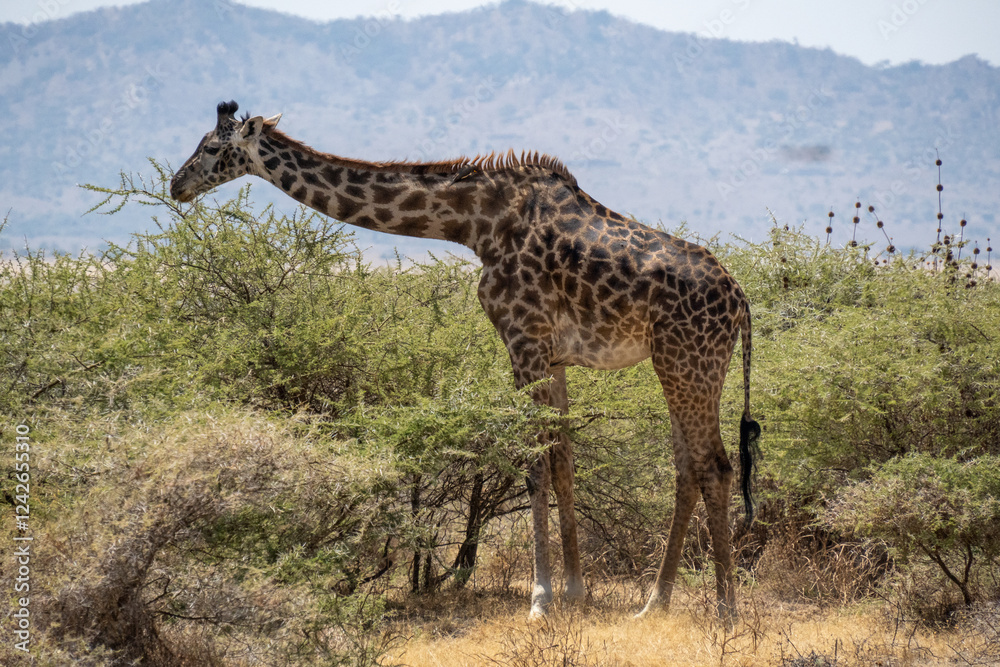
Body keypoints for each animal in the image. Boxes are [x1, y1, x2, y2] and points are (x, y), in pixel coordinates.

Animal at [170, 101, 761, 620]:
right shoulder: (552, 354)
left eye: (213, 147)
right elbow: (563, 460)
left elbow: (534, 466)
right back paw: (653, 604)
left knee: (714, 465)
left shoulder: (523, 339)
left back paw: (727, 610)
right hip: (681, 363)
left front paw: (540, 599)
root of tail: (740, 301)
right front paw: (574, 591)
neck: (474, 223)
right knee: (687, 467)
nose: (176, 184)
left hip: (687, 359)